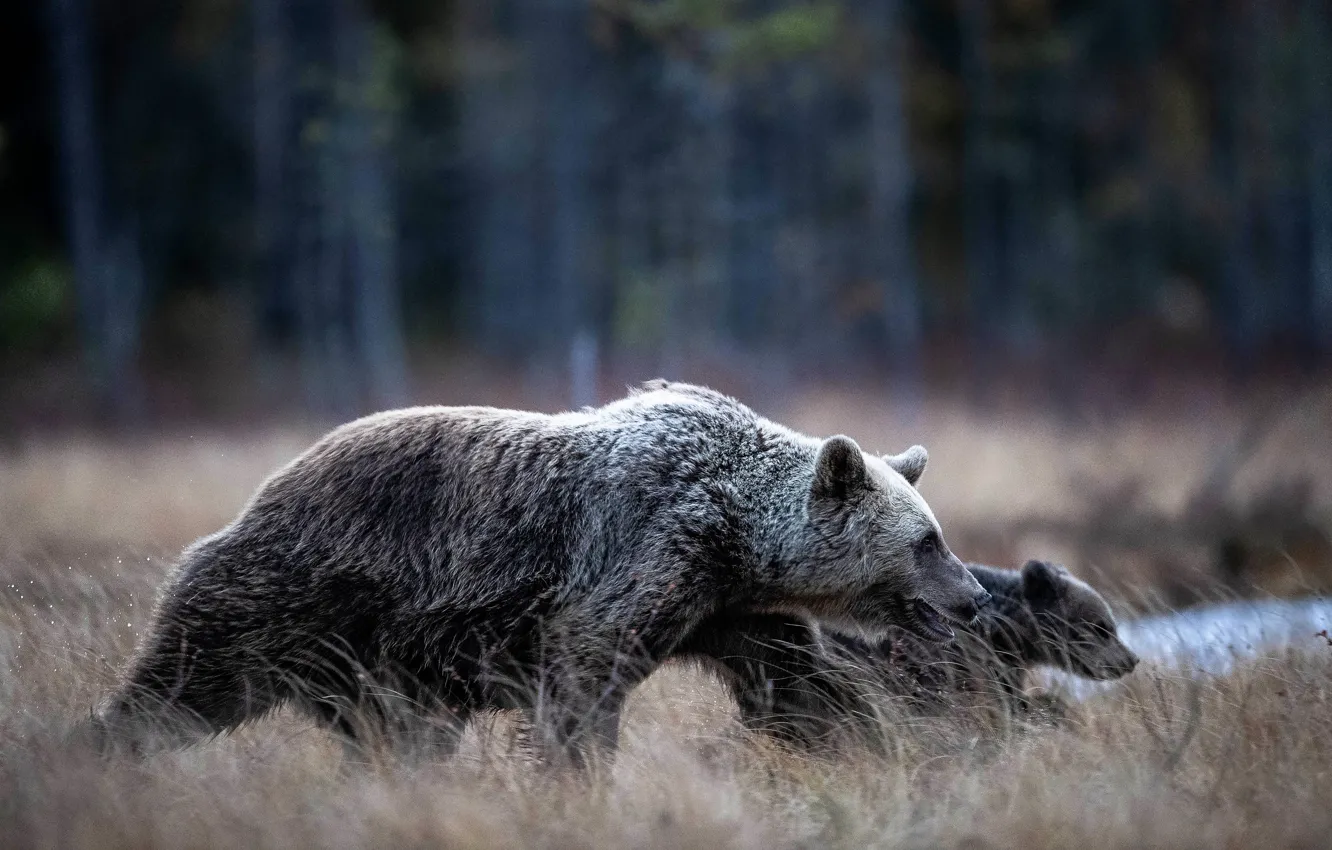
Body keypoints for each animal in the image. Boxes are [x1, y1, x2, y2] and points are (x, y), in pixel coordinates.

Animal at [87, 380, 989, 766]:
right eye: (928, 542)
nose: (975, 597)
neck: (739, 532)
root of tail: (262, 490)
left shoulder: (729, 609)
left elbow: (802, 688)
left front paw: (887, 746)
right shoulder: (646, 550)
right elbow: (584, 679)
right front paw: (574, 774)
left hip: (386, 667)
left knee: (399, 737)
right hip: (297, 592)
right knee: (184, 684)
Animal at [678, 559, 1138, 748]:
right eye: (1101, 626)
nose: (1129, 659)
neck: (1007, 635)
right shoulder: (958, 664)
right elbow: (999, 707)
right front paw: (1047, 711)